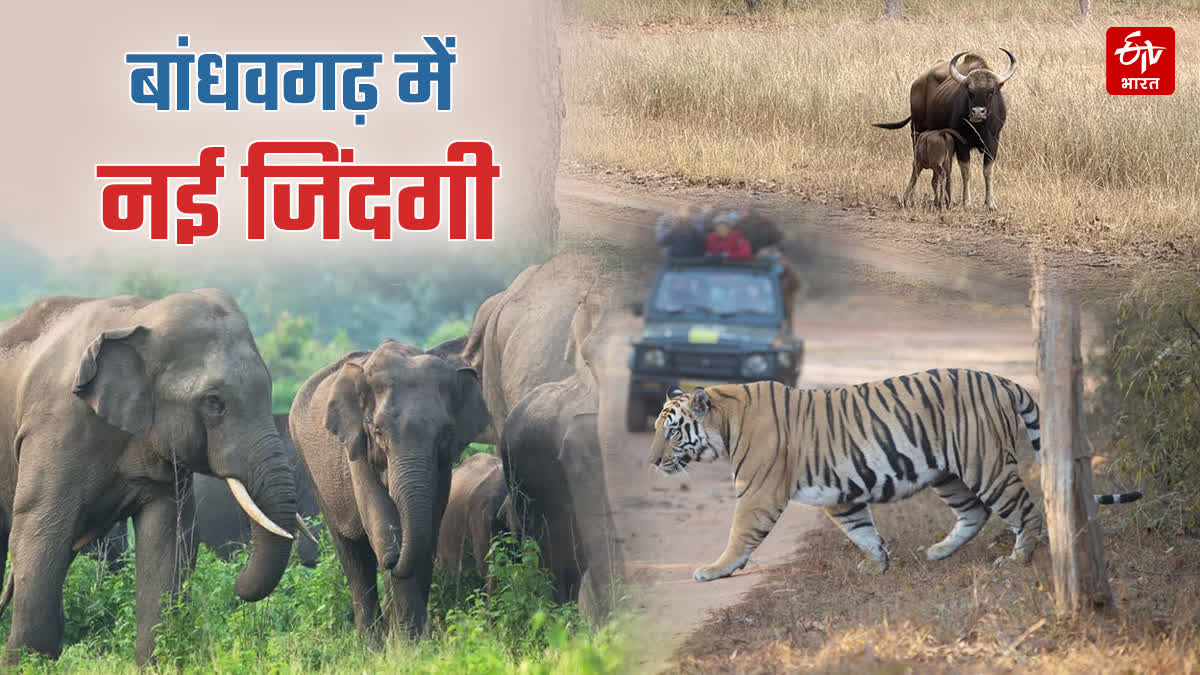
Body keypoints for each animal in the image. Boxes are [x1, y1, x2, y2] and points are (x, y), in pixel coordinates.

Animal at [874, 49, 1016, 210]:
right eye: (970, 92)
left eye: (991, 91)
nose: (978, 112)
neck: (978, 128)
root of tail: (917, 82)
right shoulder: (962, 144)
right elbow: (966, 171)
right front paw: (966, 202)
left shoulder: (993, 143)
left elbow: (988, 171)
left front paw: (990, 203)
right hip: (917, 131)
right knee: (916, 166)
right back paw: (912, 199)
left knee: (938, 172)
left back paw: (938, 200)